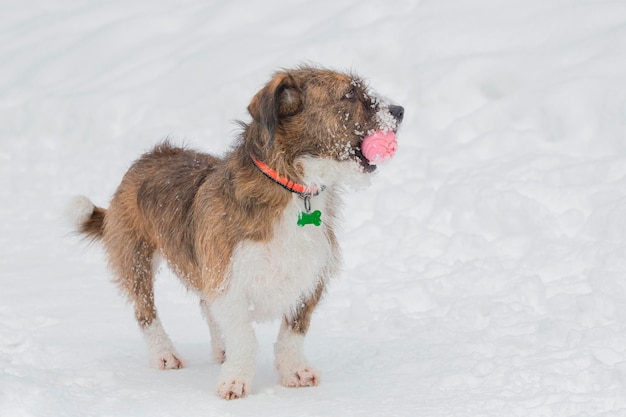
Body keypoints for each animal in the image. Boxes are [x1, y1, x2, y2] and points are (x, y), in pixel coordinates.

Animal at [73, 66, 402, 400]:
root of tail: (145, 159)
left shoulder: (309, 278)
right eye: (349, 94)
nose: (399, 111)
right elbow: (243, 336)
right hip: (136, 259)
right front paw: (236, 379)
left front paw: (294, 370)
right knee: (145, 311)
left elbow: (293, 333)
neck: (292, 188)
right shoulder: (227, 278)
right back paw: (164, 354)